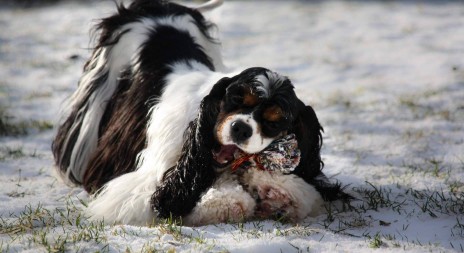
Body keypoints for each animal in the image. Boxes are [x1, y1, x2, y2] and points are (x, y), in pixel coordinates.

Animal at [51, 0, 348, 225]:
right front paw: (227, 204)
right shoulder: (141, 185)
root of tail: (157, 5)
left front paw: (275, 193)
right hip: (101, 79)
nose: (240, 128)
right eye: (235, 98)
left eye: (274, 122)